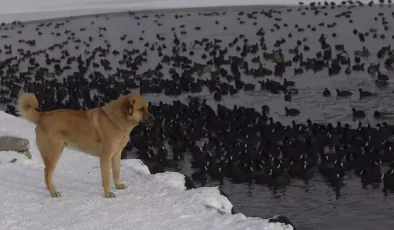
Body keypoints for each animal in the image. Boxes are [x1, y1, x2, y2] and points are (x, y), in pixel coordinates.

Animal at [16, 92, 154, 199]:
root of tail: (42, 115)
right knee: (47, 173)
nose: (154, 119)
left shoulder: (116, 154)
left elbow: (116, 172)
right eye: (141, 109)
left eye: (147, 108)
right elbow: (107, 177)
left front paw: (118, 185)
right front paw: (108, 193)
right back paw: (53, 192)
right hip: (53, 154)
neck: (116, 120)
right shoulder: (105, 157)